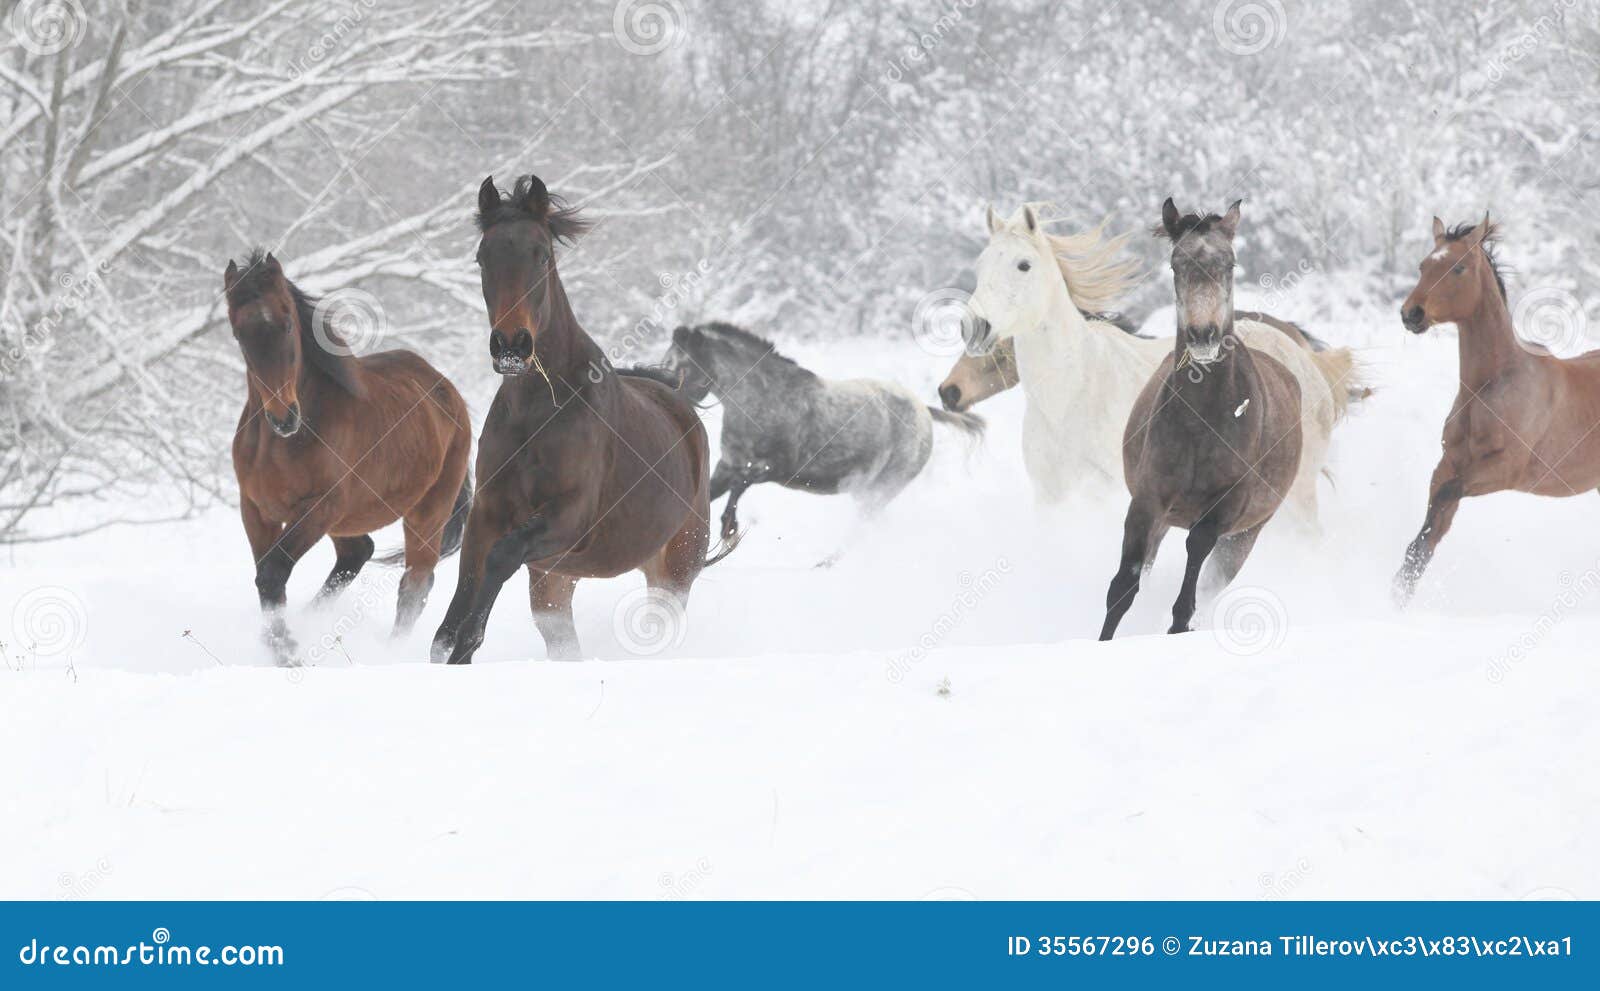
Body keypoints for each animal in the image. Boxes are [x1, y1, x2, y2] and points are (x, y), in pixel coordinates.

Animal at [227, 251, 473, 662]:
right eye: (239, 332)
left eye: (288, 322)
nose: (283, 417)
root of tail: (448, 391)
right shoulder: (257, 509)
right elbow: (267, 577)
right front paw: (280, 643)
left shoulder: (321, 506)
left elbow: (273, 572)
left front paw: (288, 649)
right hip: (348, 521)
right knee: (357, 554)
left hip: (427, 511)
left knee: (415, 584)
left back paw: (390, 652)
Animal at [428, 173, 723, 662]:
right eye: (482, 257)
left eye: (542, 254)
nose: (511, 346)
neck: (538, 411)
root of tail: (682, 407)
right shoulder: (487, 515)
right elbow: (452, 613)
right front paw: (450, 650)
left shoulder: (570, 519)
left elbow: (501, 558)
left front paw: (467, 648)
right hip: (556, 581)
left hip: (676, 566)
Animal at [960, 201, 1363, 528]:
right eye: (980, 264)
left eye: (1023, 265)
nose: (973, 326)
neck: (1071, 391)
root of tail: (1303, 357)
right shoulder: (1049, 495)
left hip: (1297, 494)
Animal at [1094, 199, 1305, 643]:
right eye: (1176, 264)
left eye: (1230, 263)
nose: (1203, 336)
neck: (1202, 423)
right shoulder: (1147, 500)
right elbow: (1123, 587)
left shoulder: (1225, 510)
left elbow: (1192, 575)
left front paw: (1178, 626)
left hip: (1245, 537)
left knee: (1209, 583)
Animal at [1395, 214, 1600, 605]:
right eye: (1423, 265)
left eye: (1458, 268)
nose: (1411, 314)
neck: (1488, 390)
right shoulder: (1449, 464)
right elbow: (1426, 537)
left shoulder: (1504, 472)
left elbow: (1443, 501)